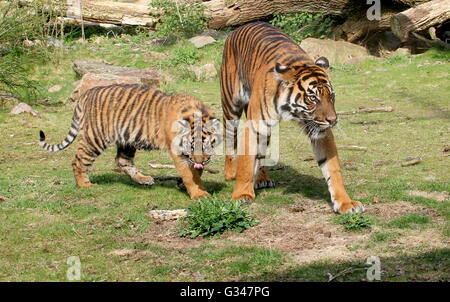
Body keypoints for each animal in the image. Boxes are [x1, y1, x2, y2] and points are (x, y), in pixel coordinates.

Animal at [39, 84, 219, 199]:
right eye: (191, 145)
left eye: (206, 146)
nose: (200, 161)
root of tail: (86, 94)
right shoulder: (178, 153)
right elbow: (189, 174)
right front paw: (198, 194)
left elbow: (196, 172)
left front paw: (188, 183)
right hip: (95, 138)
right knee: (78, 161)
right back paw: (85, 184)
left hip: (127, 140)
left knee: (122, 161)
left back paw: (144, 179)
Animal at [220, 21, 364, 214]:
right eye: (313, 98)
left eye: (331, 96)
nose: (332, 120)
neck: (291, 110)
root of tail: (243, 26)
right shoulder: (254, 125)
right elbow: (246, 163)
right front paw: (241, 195)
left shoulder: (320, 130)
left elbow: (332, 168)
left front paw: (345, 203)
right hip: (231, 106)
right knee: (229, 139)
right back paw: (230, 173)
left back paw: (261, 178)